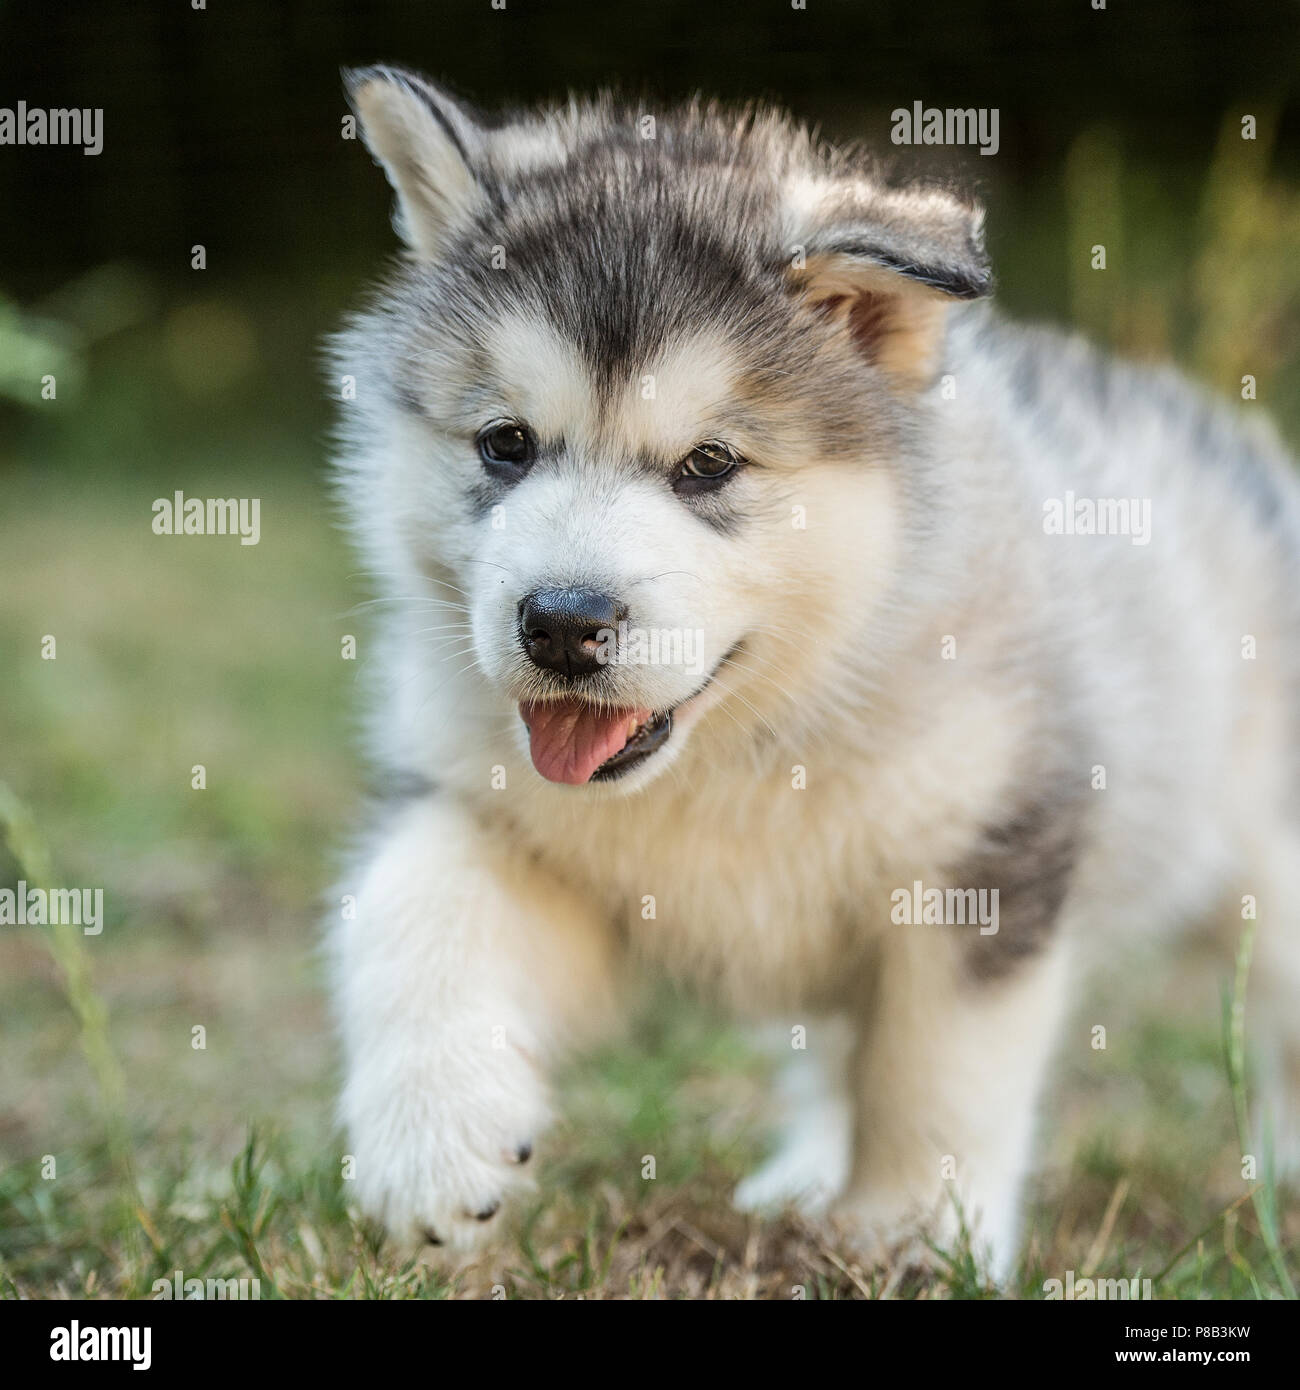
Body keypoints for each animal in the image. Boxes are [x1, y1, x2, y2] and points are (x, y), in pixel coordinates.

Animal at [330, 67, 1300, 1278]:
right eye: (505, 444)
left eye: (709, 463)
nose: (560, 623)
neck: (743, 741)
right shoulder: (502, 821)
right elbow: (409, 906)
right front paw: (432, 1142)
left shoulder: (986, 854)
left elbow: (935, 1071)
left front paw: (915, 1233)